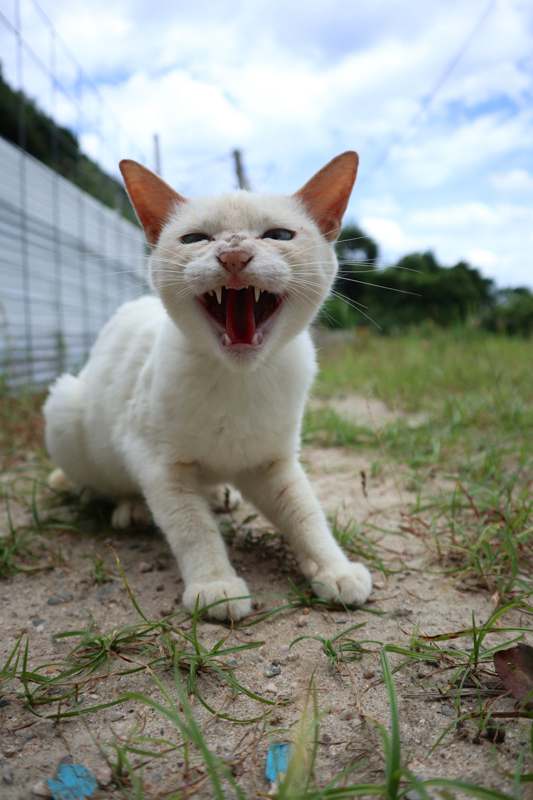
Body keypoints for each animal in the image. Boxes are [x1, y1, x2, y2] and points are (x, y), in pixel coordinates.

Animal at [43, 153, 370, 620]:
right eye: (195, 238)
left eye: (278, 235)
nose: (234, 254)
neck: (238, 380)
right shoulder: (160, 466)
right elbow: (192, 527)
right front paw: (217, 586)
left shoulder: (273, 463)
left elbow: (306, 514)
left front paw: (335, 569)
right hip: (65, 407)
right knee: (102, 487)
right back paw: (132, 508)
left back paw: (217, 494)